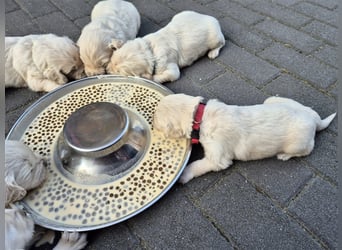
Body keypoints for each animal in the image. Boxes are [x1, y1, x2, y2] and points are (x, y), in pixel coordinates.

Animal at [153, 94, 336, 184]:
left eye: (157, 124)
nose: (153, 127)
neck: (200, 116)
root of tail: (314, 119)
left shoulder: (218, 158)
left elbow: (198, 165)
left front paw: (183, 175)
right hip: (273, 99)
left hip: (298, 144)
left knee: (305, 151)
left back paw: (284, 155)